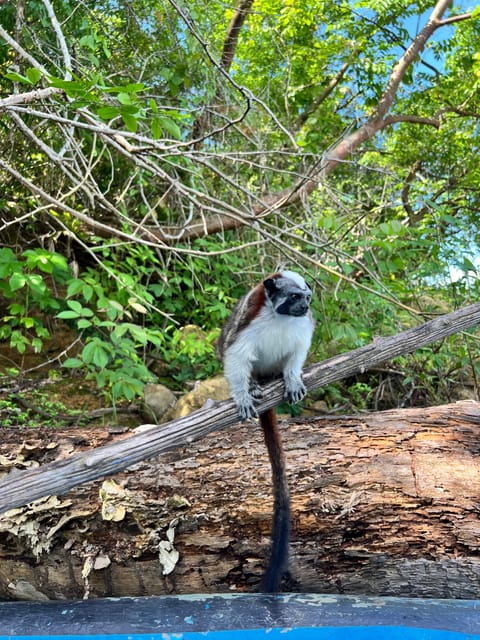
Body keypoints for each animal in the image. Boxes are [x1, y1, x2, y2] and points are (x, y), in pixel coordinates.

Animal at [217, 268, 316, 592]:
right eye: (295, 297)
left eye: (307, 298)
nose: (305, 307)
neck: (279, 316)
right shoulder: (249, 318)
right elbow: (233, 354)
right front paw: (243, 394)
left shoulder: (303, 326)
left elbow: (299, 350)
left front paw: (293, 378)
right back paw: (253, 385)